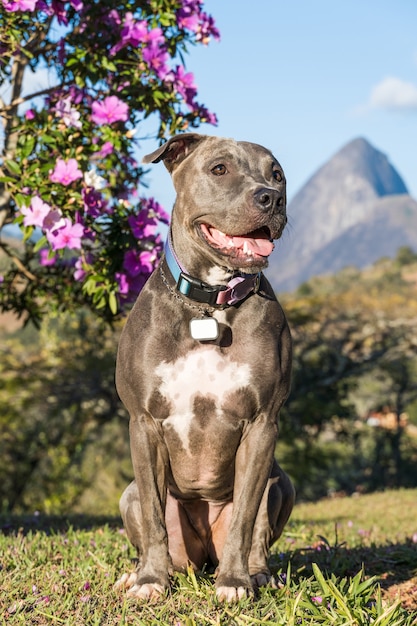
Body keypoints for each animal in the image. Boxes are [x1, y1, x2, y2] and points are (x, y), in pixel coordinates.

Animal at [115, 132, 294, 600]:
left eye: (277, 174)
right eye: (219, 169)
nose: (271, 197)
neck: (209, 303)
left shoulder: (262, 423)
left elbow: (247, 518)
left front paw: (234, 582)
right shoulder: (143, 422)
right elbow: (155, 518)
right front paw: (150, 581)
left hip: (282, 482)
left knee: (259, 530)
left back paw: (257, 572)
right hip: (129, 494)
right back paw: (137, 573)